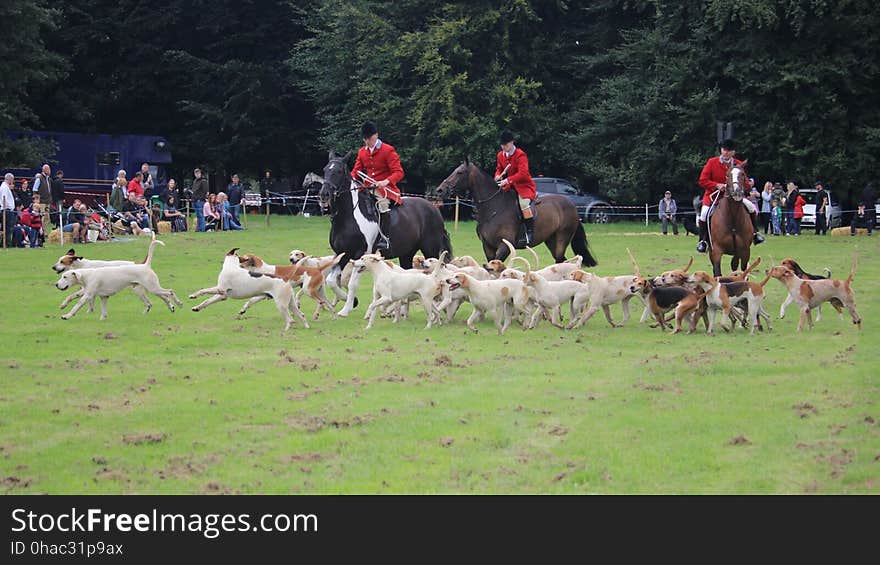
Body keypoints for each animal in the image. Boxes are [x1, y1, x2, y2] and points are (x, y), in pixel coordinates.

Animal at [434, 159, 600, 264]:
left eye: (460, 172)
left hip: (562, 238)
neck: (493, 208)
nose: (440, 190)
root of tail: (571, 205)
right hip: (551, 240)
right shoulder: (488, 247)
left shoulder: (505, 246)